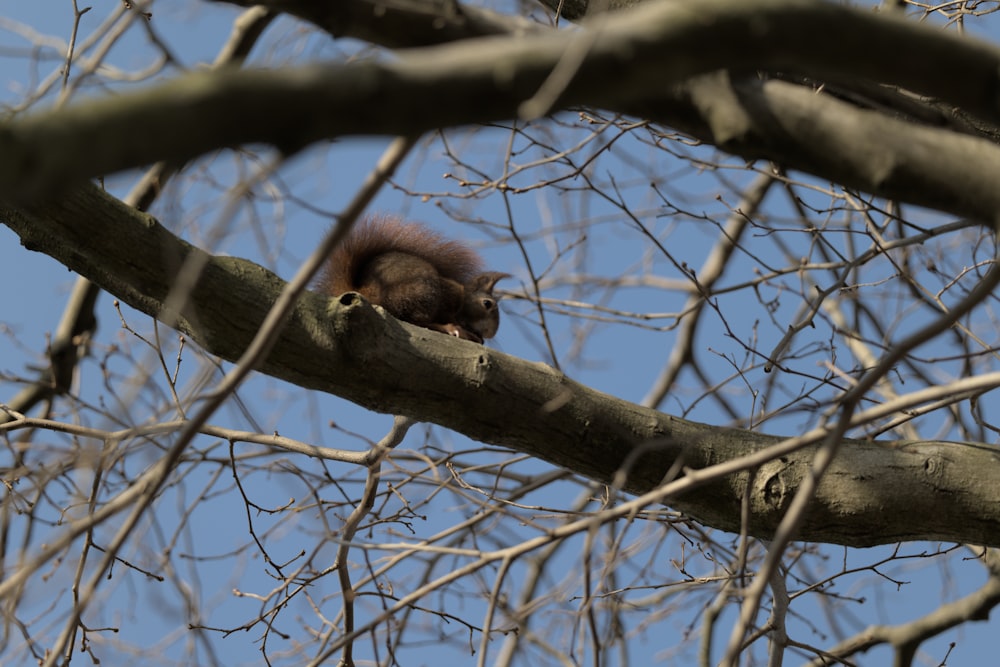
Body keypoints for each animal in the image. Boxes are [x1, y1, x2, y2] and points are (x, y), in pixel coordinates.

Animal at [318, 217, 512, 344]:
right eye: (487, 304)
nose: (489, 333)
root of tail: (367, 291)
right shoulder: (450, 294)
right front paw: (460, 328)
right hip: (423, 291)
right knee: (416, 320)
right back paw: (450, 328)